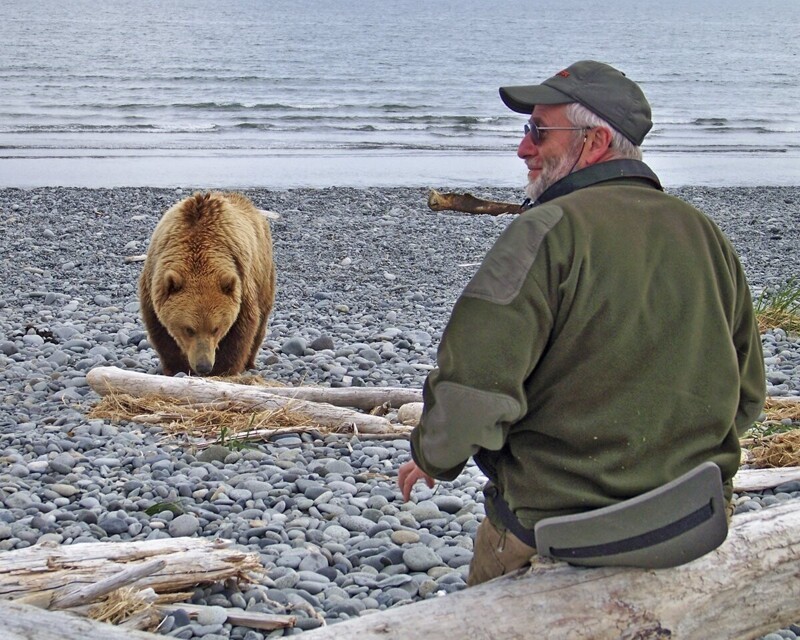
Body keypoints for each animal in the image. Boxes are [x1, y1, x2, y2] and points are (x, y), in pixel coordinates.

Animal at [138, 192, 276, 378]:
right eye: (189, 329)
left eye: (215, 328)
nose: (203, 366)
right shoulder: (153, 280)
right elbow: (160, 331)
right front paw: (177, 367)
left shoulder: (242, 283)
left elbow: (241, 328)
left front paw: (224, 369)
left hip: (264, 272)